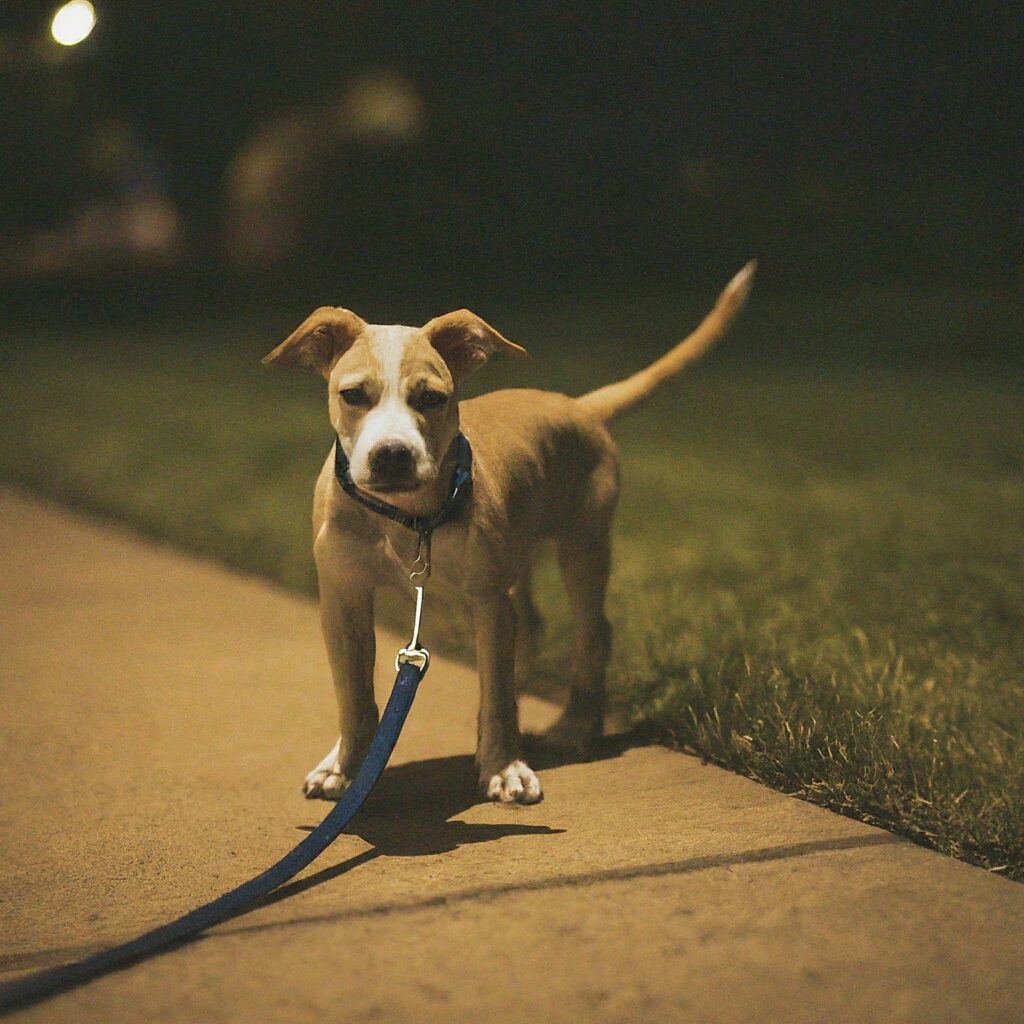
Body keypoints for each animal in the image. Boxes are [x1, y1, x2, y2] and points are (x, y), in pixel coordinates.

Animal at [264, 266, 753, 806]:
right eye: (353, 395)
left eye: (432, 398)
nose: (392, 454)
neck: (406, 520)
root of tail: (580, 407)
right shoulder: (343, 599)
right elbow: (353, 696)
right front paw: (345, 769)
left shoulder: (487, 600)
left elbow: (497, 693)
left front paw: (505, 768)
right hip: (519, 559)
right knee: (531, 627)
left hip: (581, 545)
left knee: (590, 633)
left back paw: (573, 727)